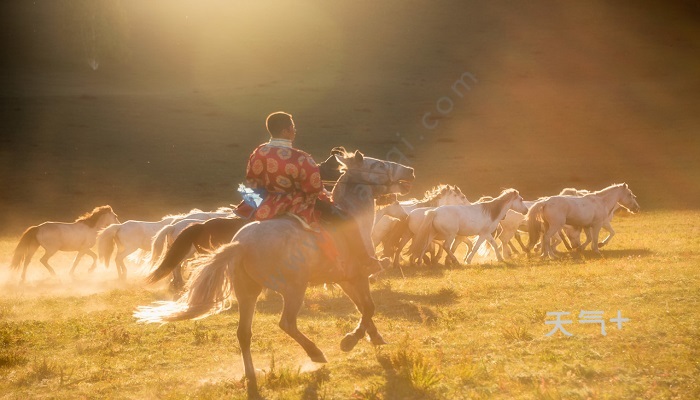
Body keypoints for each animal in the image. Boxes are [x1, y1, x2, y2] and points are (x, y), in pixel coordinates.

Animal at [134, 148, 412, 398]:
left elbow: (363, 307)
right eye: (379, 165)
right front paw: (350, 341)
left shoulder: (345, 280)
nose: (409, 170)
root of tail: (241, 243)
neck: (352, 217)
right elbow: (368, 307)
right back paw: (315, 353)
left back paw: (251, 374)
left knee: (244, 333)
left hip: (247, 292)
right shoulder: (357, 276)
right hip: (294, 289)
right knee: (286, 323)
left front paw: (374, 337)